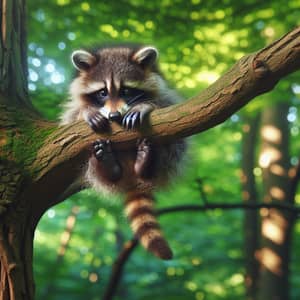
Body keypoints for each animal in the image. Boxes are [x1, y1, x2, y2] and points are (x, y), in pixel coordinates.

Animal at [60, 45, 185, 260]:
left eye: (126, 91)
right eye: (102, 92)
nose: (113, 116)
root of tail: (131, 177)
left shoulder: (168, 99)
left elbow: (165, 103)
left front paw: (144, 105)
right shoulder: (71, 114)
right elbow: (73, 115)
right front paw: (87, 112)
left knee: (174, 144)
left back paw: (145, 164)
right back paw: (108, 167)